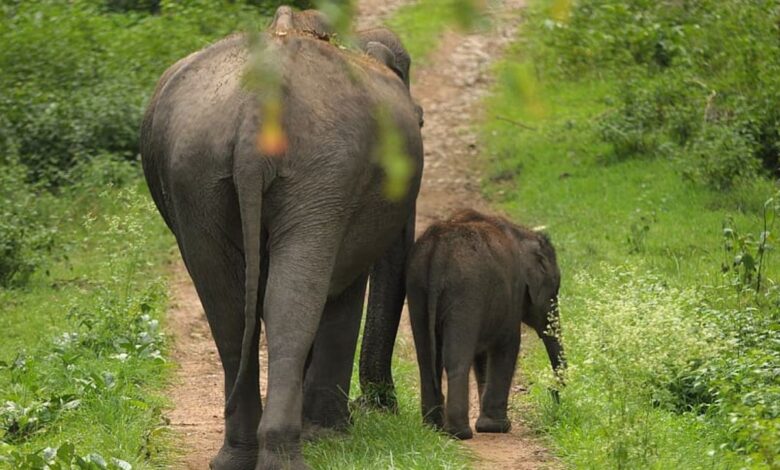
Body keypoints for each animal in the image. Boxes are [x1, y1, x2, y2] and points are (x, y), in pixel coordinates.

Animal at [140, 6, 422, 469]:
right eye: (421, 120)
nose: (380, 405)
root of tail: (259, 104)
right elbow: (343, 291)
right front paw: (331, 435)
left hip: (197, 172)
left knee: (230, 307)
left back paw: (239, 456)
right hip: (318, 169)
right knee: (292, 301)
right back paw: (289, 451)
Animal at [406, 209, 565, 440]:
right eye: (554, 291)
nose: (553, 394)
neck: (522, 233)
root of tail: (437, 252)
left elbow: (481, 358)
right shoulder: (512, 292)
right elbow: (508, 346)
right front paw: (497, 427)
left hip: (416, 288)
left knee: (426, 359)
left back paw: (433, 427)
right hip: (466, 293)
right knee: (456, 359)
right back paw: (460, 433)